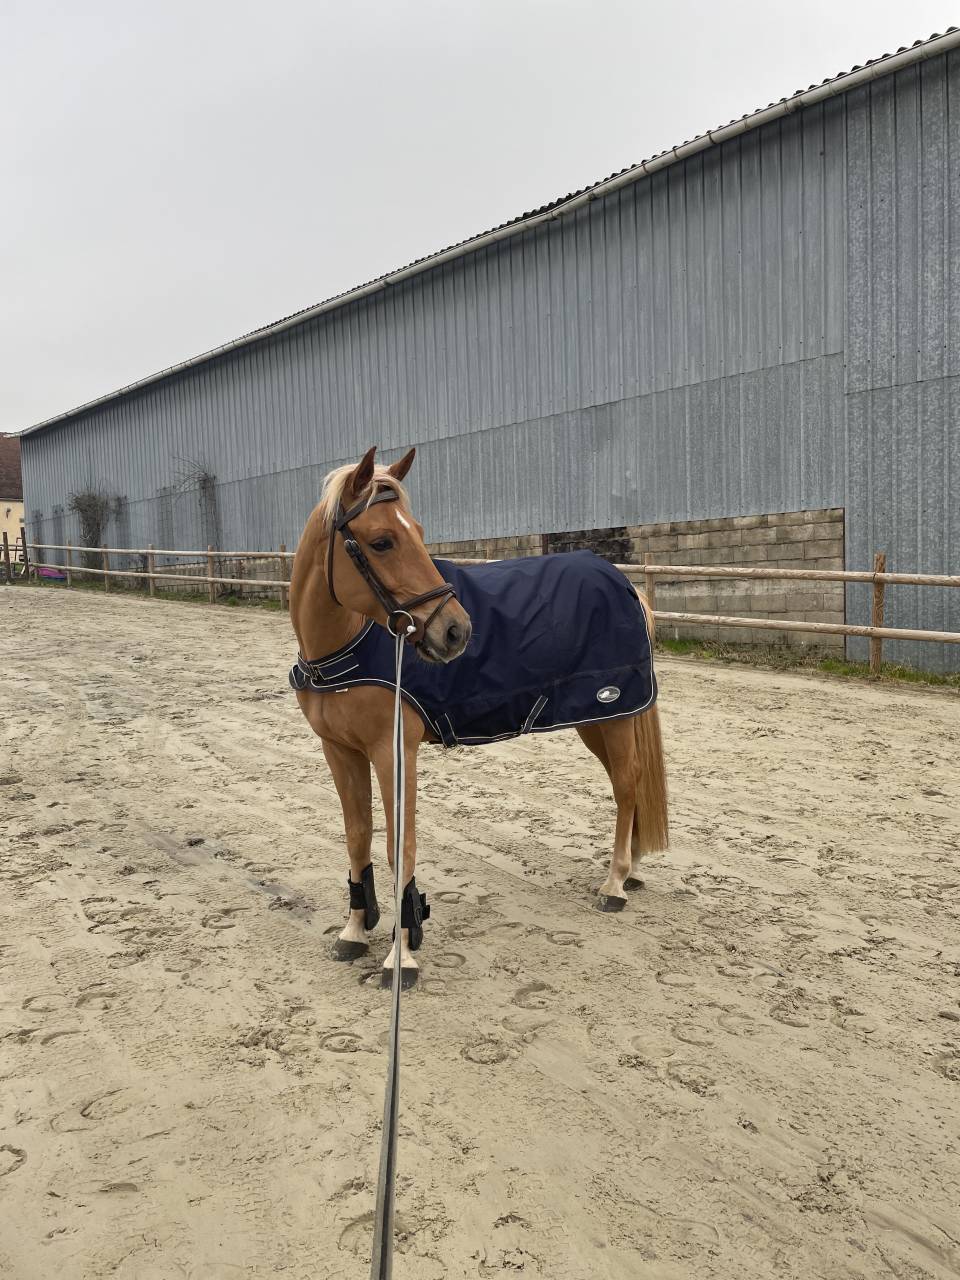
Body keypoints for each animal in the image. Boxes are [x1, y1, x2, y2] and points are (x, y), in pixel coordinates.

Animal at [289, 446, 668, 983]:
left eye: (418, 531)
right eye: (382, 541)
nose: (456, 631)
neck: (351, 642)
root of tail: (623, 583)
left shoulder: (394, 752)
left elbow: (399, 845)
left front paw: (401, 956)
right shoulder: (339, 751)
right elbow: (358, 837)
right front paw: (355, 931)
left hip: (609, 714)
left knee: (628, 783)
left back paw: (614, 884)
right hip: (597, 720)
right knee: (626, 785)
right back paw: (630, 870)